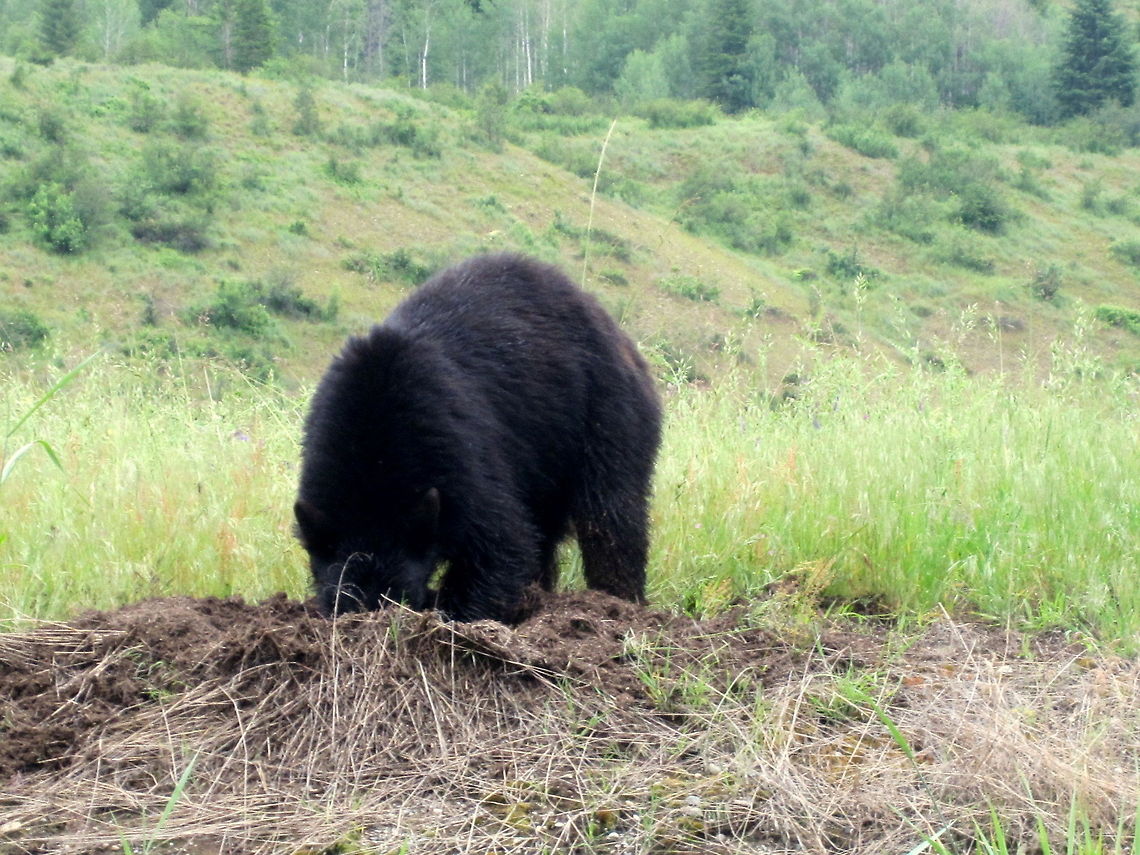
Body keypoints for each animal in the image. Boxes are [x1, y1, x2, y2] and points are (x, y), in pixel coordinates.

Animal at [294, 253, 662, 623]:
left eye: (402, 598)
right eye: (340, 604)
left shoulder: (457, 450)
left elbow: (500, 546)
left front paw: (455, 616)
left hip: (605, 409)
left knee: (610, 511)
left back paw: (617, 601)